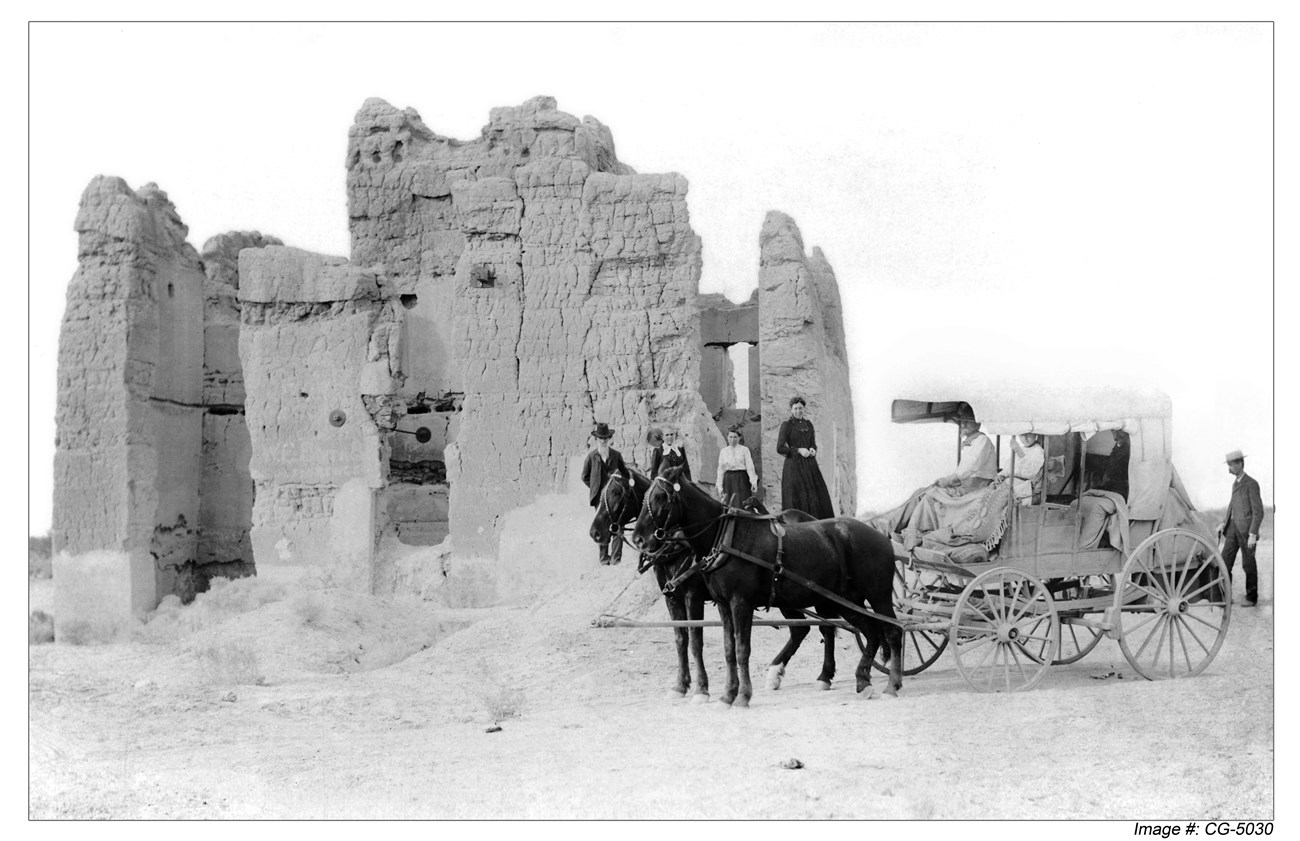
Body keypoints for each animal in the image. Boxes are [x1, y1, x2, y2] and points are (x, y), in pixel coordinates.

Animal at [592, 470, 837, 701]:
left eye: (617, 492)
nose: (595, 532)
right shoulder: (672, 598)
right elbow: (681, 640)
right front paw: (680, 686)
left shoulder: (693, 597)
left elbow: (695, 641)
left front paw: (701, 689)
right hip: (784, 596)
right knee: (801, 629)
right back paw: (776, 673)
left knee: (826, 626)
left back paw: (824, 675)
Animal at [631, 462, 904, 707]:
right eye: (643, 497)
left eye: (659, 496)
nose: (639, 538)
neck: (726, 536)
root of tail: (880, 534)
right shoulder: (722, 605)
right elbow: (728, 649)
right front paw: (727, 695)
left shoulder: (737, 602)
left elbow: (740, 648)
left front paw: (741, 696)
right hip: (844, 601)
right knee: (870, 632)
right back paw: (862, 680)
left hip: (877, 597)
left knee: (892, 631)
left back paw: (891, 685)